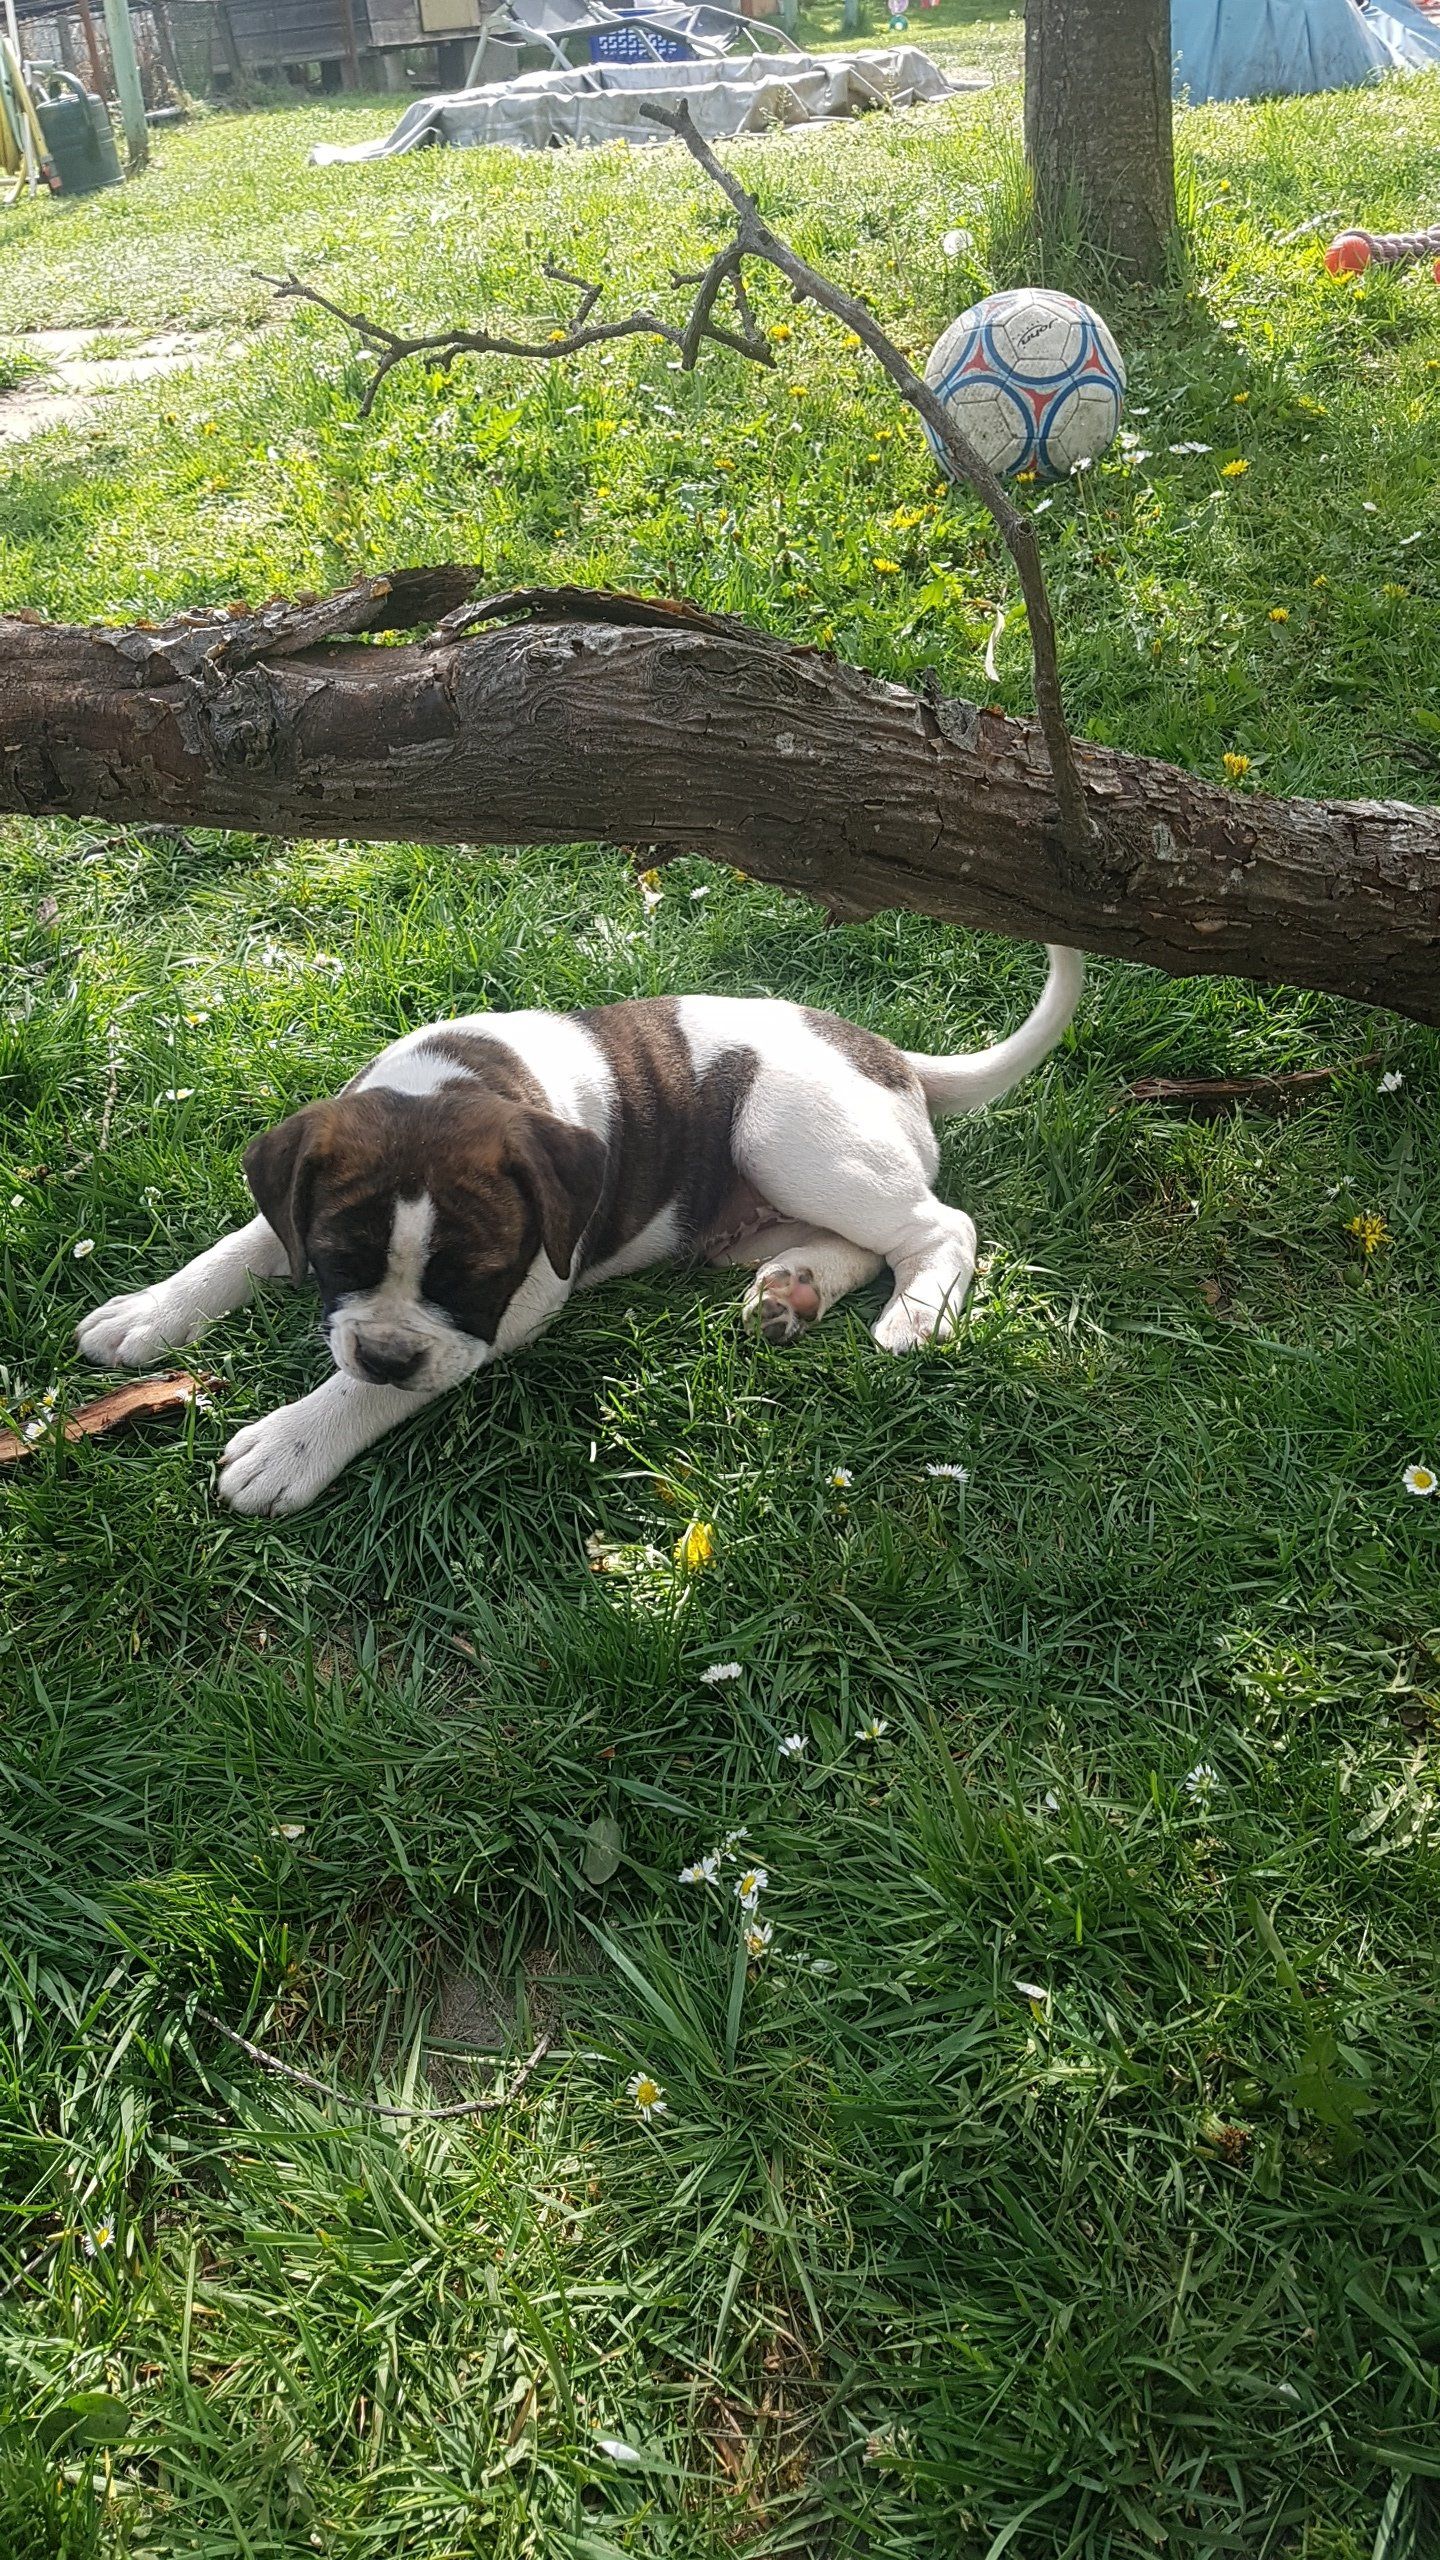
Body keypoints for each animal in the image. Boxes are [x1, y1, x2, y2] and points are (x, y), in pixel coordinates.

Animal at [75, 950, 1082, 1515]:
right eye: (331, 1261)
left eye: (473, 1278)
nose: (388, 1353)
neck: (457, 1084)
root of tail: (892, 1055)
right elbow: (244, 1245)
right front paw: (151, 1310)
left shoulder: (517, 1304)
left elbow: (374, 1388)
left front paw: (295, 1441)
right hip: (750, 1210)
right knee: (864, 1239)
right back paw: (792, 1291)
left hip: (782, 1128)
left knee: (938, 1223)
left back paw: (919, 1312)